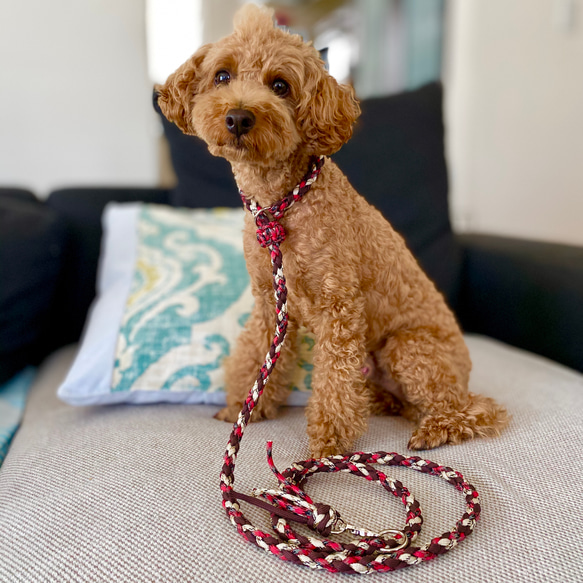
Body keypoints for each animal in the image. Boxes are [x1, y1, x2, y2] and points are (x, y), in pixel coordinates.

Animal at [157, 5, 508, 460]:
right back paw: (385, 403)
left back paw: (438, 428)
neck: (282, 205)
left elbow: (335, 384)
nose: (238, 117)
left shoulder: (339, 307)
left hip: (408, 348)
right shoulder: (271, 305)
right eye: (221, 76)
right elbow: (257, 358)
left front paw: (327, 445)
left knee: (475, 409)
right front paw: (245, 406)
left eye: (280, 85)